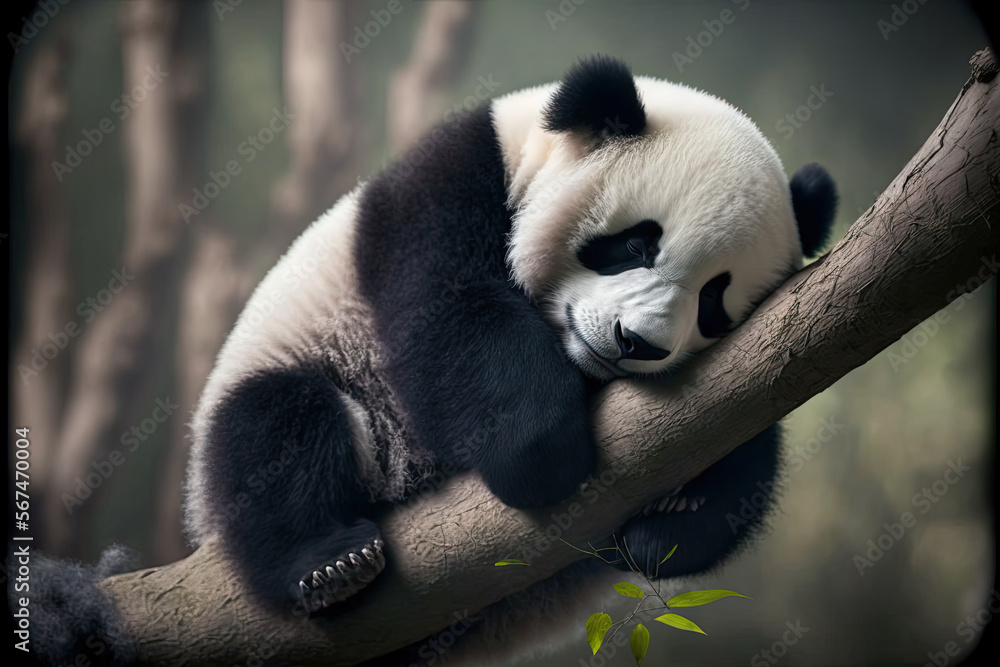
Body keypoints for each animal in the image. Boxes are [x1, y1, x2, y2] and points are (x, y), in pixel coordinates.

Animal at [184, 55, 836, 660]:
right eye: (635, 245)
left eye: (713, 302)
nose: (636, 341)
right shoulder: (448, 185)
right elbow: (450, 316)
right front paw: (539, 451)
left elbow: (747, 443)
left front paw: (677, 515)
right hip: (306, 360)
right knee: (276, 430)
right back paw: (329, 566)